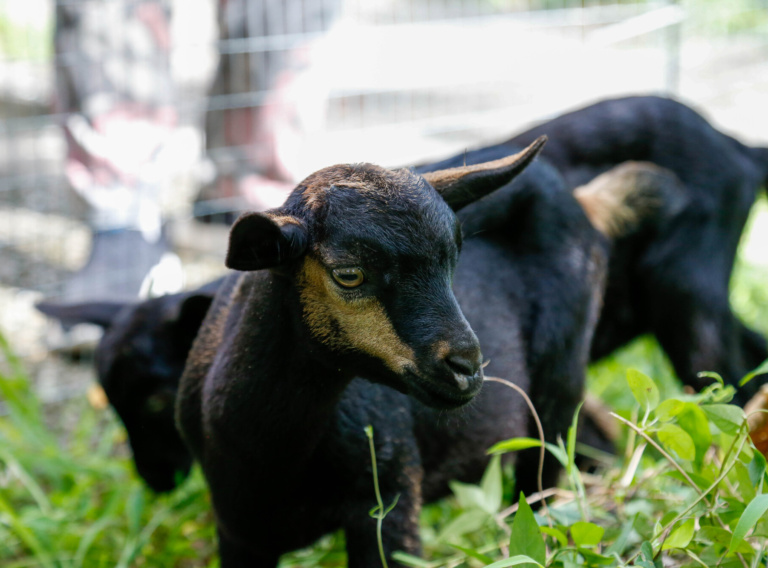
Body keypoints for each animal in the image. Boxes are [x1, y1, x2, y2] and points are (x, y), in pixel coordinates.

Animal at [175, 136, 676, 565]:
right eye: (348, 274)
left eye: (455, 257)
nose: (467, 368)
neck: (279, 454)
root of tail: (586, 202)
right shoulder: (238, 532)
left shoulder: (389, 503)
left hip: (559, 384)